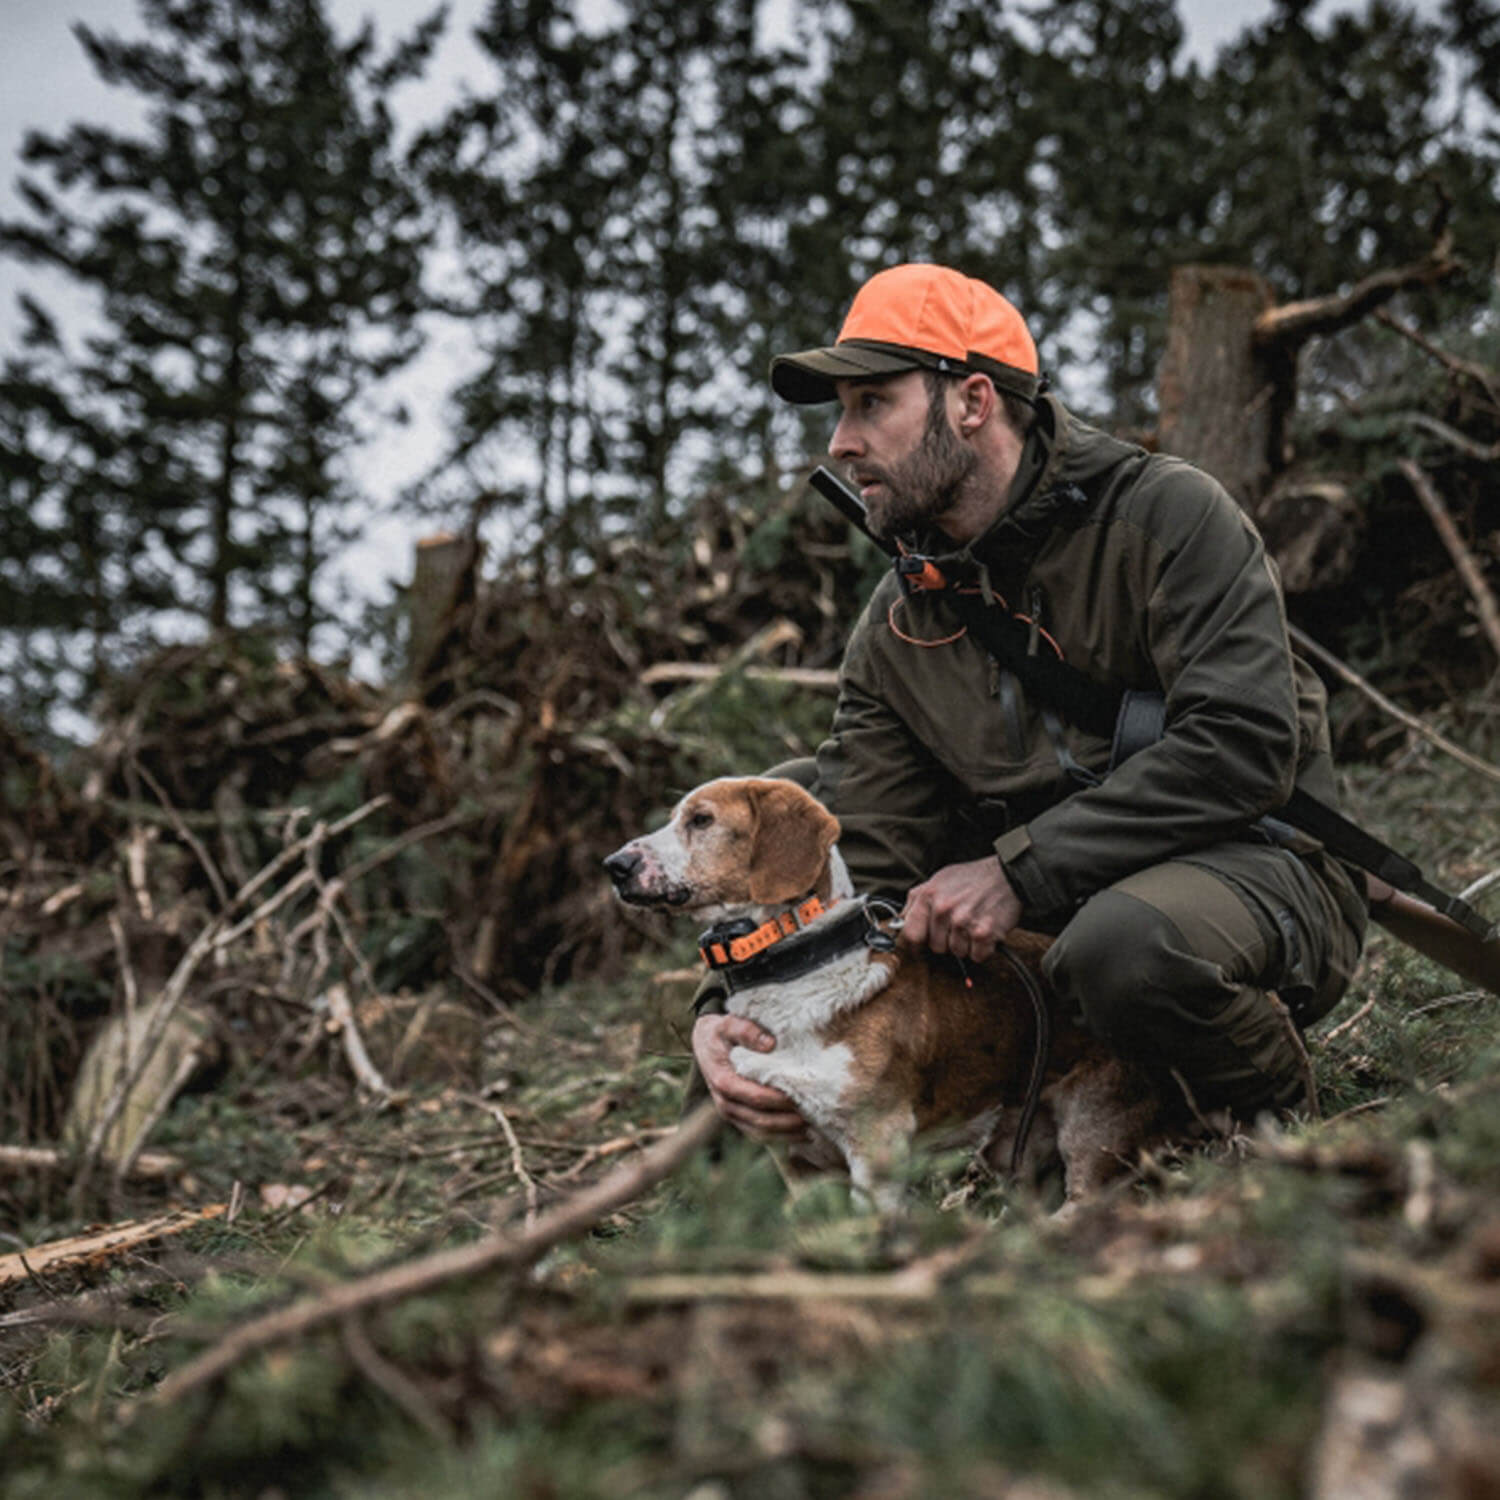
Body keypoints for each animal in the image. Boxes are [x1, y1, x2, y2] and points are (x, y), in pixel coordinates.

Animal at [603, 780, 1164, 1212]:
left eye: (701, 820)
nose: (614, 865)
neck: (794, 971)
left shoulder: (877, 1147)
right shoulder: (795, 1160)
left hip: (1092, 1129)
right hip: (1017, 1148)